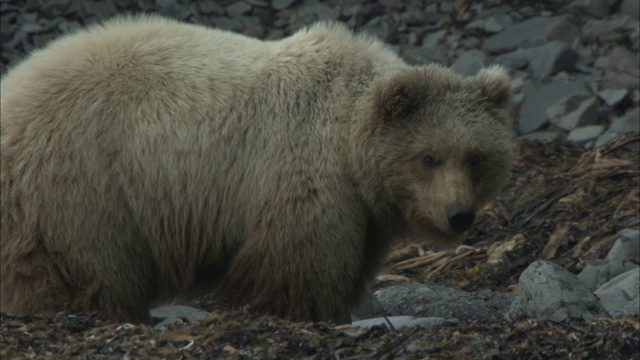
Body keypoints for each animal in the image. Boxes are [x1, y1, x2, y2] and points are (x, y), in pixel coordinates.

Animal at [0, 14, 510, 324]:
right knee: (82, 264)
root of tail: (13, 86)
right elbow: (294, 261)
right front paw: (298, 310)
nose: (458, 214)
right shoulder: (301, 167)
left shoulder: (361, 211)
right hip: (81, 181)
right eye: (428, 157)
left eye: (475, 156)